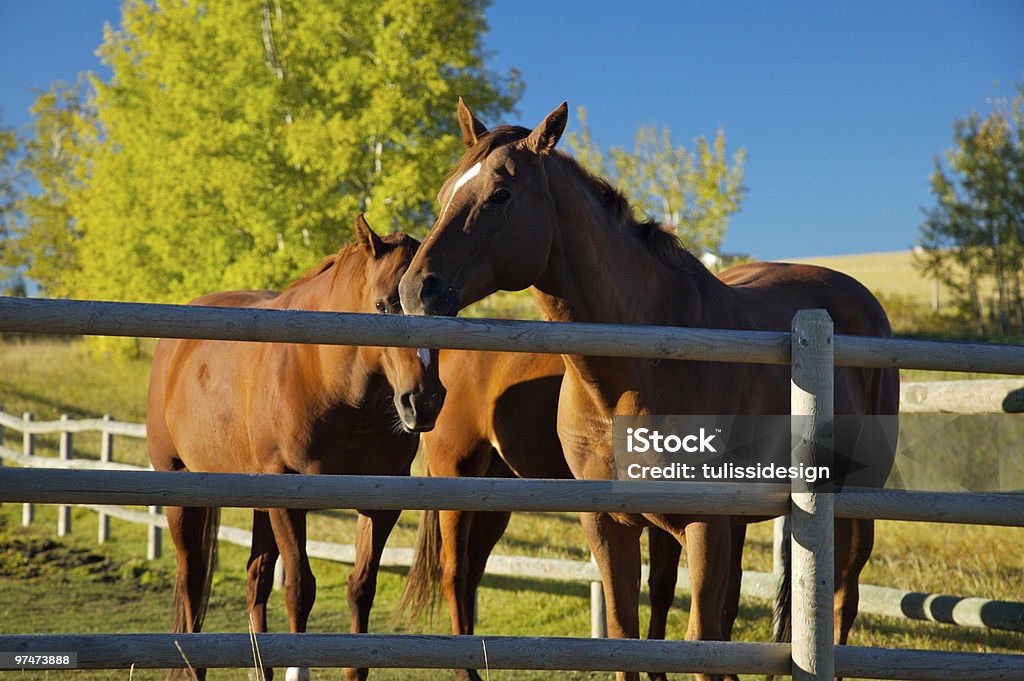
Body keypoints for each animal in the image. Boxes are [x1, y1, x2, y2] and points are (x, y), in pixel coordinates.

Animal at [147, 214, 444, 679]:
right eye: (382, 306)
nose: (423, 402)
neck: (329, 380)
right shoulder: (288, 498)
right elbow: (300, 588)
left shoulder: (380, 504)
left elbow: (361, 588)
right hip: (182, 489)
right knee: (192, 580)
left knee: (256, 578)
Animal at [403, 348, 684, 675]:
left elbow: (663, 586)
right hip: (456, 476)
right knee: (454, 570)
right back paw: (467, 670)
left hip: (491, 499)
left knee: (471, 571)